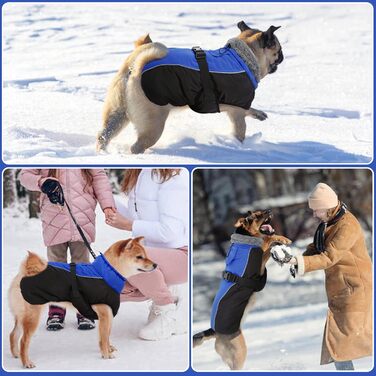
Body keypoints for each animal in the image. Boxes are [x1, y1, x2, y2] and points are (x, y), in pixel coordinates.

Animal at [8, 238, 156, 368]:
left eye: (146, 255)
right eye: (139, 257)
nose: (155, 265)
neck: (106, 273)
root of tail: (26, 272)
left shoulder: (108, 315)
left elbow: (106, 336)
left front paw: (108, 348)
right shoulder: (105, 315)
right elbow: (104, 337)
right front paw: (106, 355)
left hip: (22, 317)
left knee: (13, 335)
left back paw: (16, 354)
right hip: (32, 317)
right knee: (23, 341)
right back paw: (26, 362)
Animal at [95, 19, 284, 153]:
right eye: (278, 49)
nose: (282, 56)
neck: (243, 57)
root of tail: (134, 67)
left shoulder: (233, 106)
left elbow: (251, 110)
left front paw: (259, 114)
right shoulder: (237, 111)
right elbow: (240, 131)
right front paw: (240, 147)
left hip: (118, 114)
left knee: (103, 136)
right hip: (153, 123)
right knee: (137, 146)